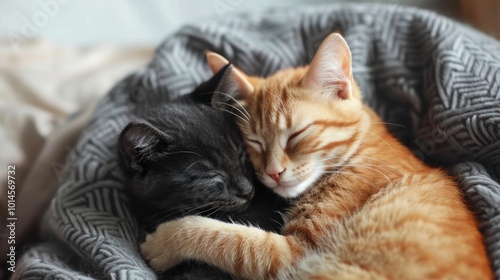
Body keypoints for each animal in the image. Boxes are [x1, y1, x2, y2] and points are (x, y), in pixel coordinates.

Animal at [141, 33, 492, 280]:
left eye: (296, 135)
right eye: (254, 142)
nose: (273, 173)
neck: (360, 149)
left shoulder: (294, 255)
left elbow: (221, 236)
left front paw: (163, 241)